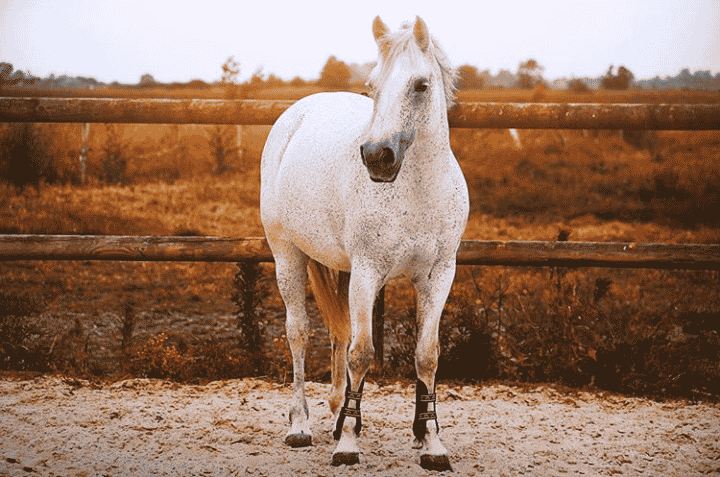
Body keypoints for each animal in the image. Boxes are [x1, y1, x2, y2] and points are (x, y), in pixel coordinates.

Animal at [262, 15, 470, 468]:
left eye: (421, 85)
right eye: (372, 86)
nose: (377, 156)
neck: (417, 190)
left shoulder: (437, 276)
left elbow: (426, 355)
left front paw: (432, 443)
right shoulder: (367, 273)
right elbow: (362, 352)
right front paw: (348, 445)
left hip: (340, 269)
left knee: (338, 334)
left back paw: (337, 413)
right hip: (288, 256)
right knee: (299, 333)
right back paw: (300, 425)